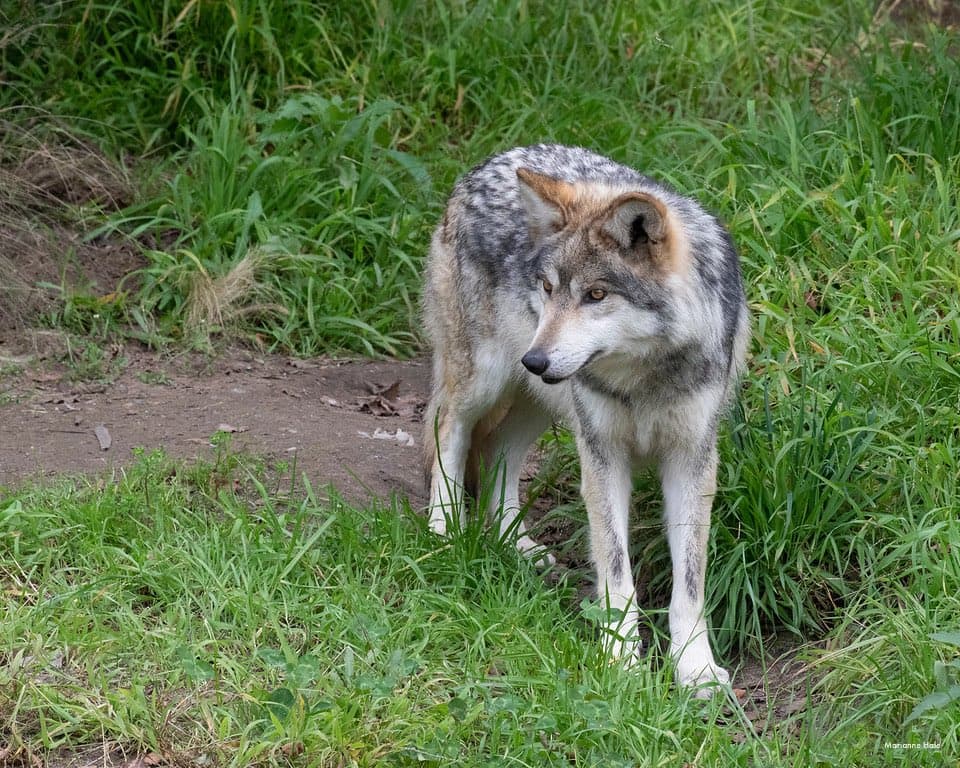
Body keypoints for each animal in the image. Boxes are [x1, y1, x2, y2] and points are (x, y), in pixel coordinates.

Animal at [421, 144, 749, 690]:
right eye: (547, 287)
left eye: (596, 295)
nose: (535, 360)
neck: (642, 376)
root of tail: (491, 161)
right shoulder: (602, 455)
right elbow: (616, 573)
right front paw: (620, 662)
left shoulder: (692, 459)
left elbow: (690, 583)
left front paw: (697, 671)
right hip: (484, 380)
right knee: (450, 431)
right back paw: (443, 531)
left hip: (539, 400)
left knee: (497, 450)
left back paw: (516, 545)